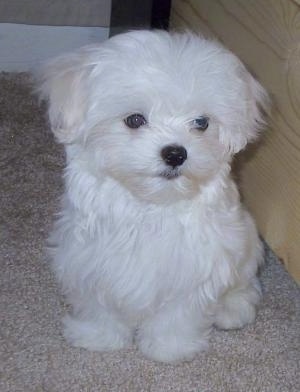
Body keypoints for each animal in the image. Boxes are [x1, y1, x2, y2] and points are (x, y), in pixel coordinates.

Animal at [39, 29, 268, 362]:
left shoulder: (194, 269)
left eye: (201, 123)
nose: (175, 153)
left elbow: (177, 314)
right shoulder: (90, 259)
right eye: (134, 120)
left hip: (247, 244)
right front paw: (98, 337)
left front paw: (169, 348)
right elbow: (98, 304)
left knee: (244, 284)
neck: (151, 206)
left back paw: (232, 309)